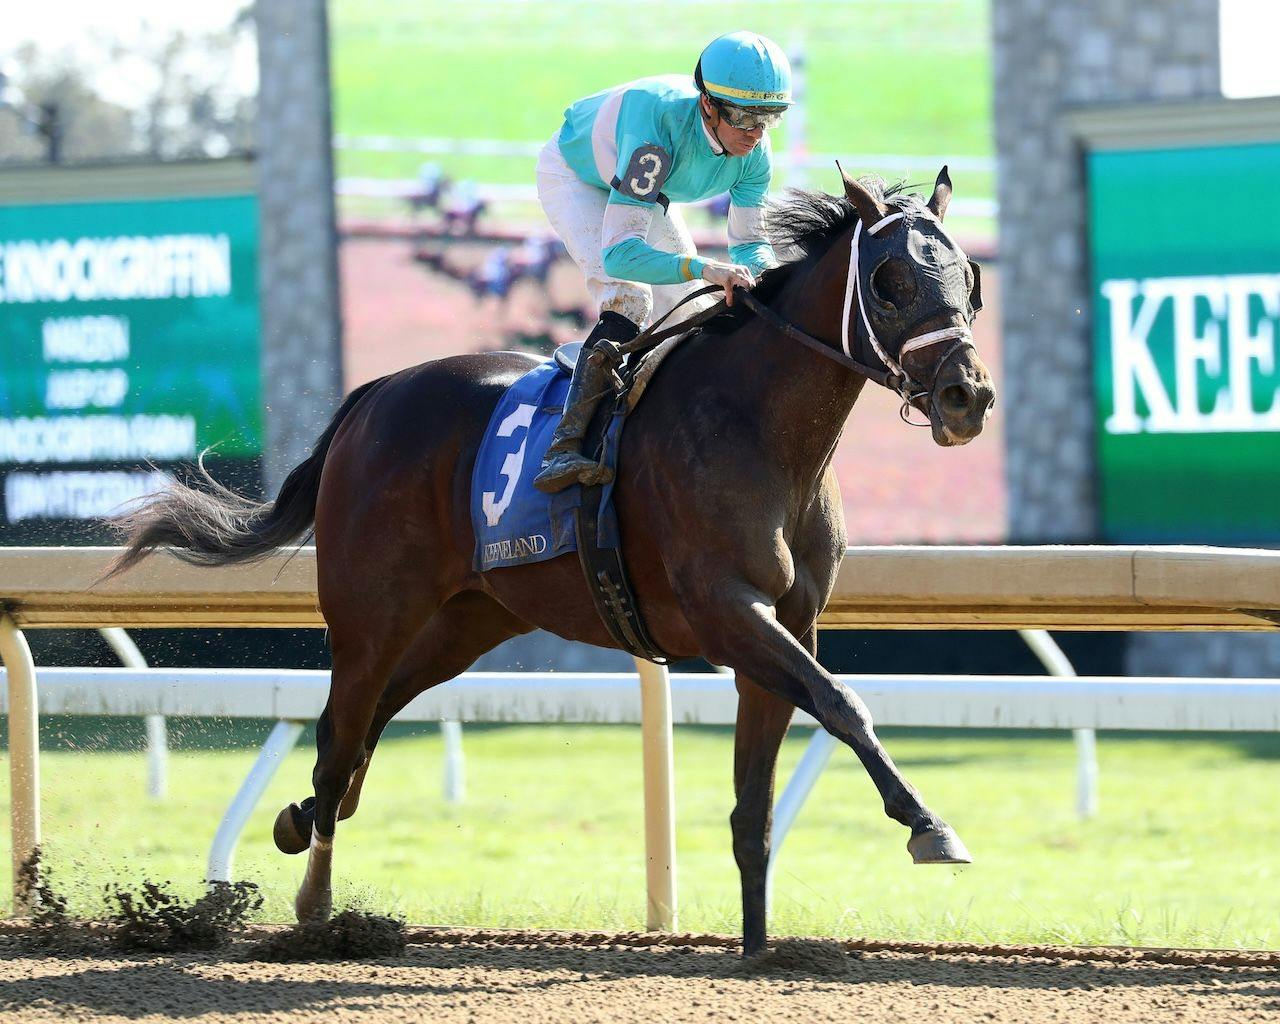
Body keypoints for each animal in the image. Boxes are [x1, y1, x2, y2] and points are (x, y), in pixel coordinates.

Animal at [110, 166, 993, 952]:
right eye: (887, 281)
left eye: (970, 277)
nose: (968, 396)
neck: (762, 433)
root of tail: (371, 397)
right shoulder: (727, 611)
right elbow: (843, 704)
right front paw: (931, 826)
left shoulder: (786, 624)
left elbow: (758, 802)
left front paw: (757, 949)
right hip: (370, 615)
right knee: (337, 739)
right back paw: (316, 905)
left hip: (466, 620)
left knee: (363, 731)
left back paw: (297, 821)